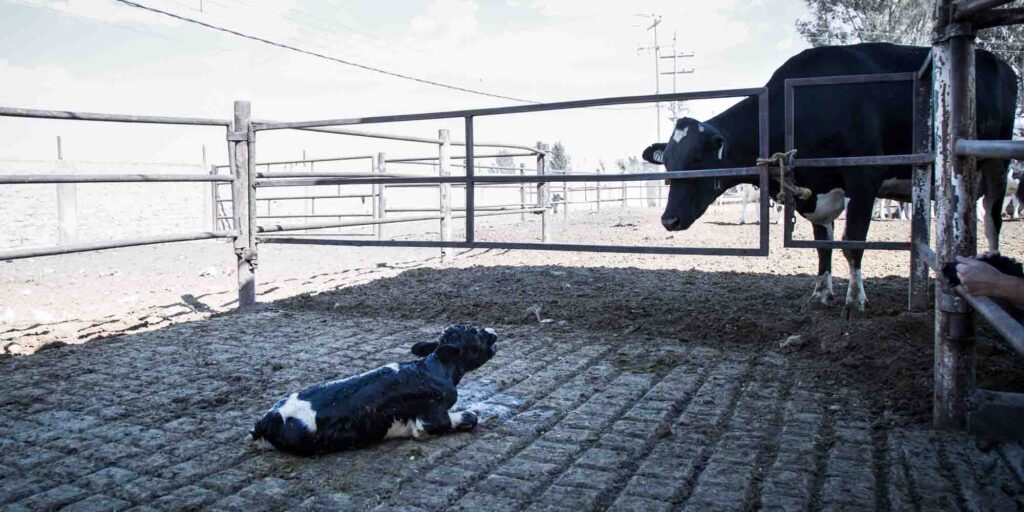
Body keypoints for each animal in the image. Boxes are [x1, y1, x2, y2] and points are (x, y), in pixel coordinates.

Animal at [251, 325, 499, 454]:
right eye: (475, 333)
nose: (493, 331)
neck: (431, 369)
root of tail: (268, 419)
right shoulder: (429, 421)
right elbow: (469, 416)